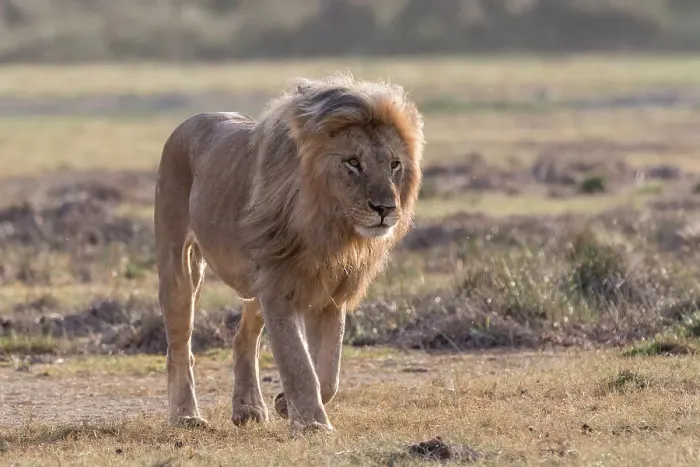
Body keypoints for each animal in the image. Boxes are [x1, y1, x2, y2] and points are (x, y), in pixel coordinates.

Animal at [154, 73, 424, 434]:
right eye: (353, 163)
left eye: (395, 164)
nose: (386, 208)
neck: (328, 229)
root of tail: (192, 120)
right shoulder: (278, 286)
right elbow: (298, 362)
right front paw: (313, 424)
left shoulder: (329, 294)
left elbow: (328, 373)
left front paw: (286, 404)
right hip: (179, 266)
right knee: (180, 345)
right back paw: (186, 415)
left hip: (254, 284)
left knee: (243, 337)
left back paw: (248, 408)